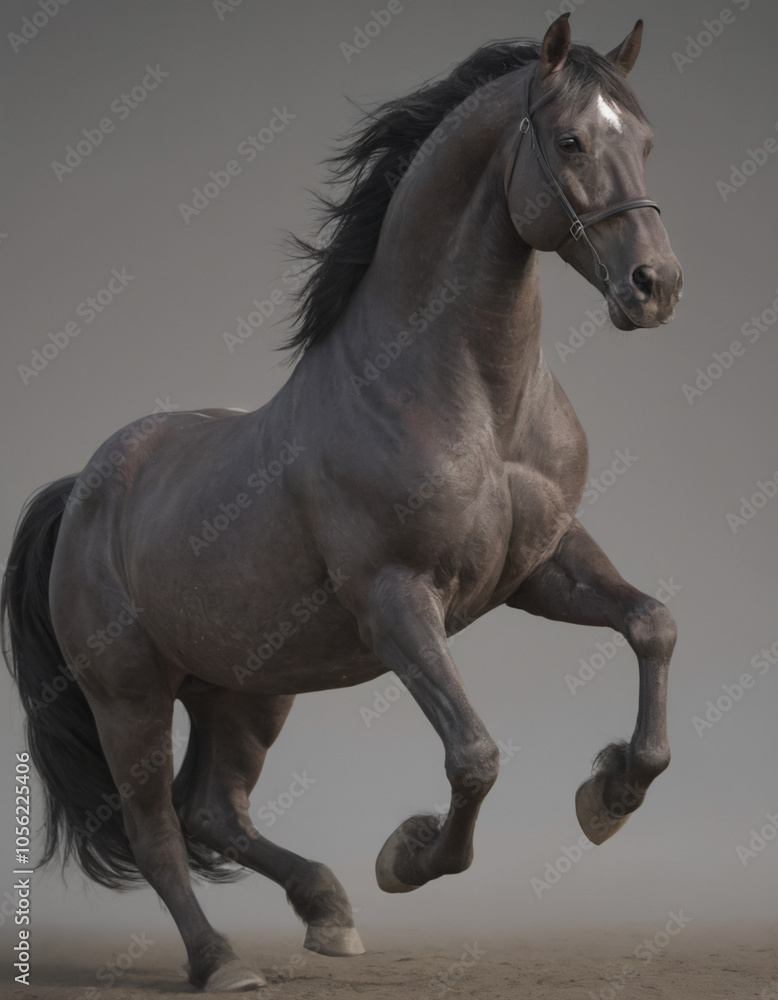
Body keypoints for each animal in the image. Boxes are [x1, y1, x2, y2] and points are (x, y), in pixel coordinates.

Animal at [2, 14, 682, 992]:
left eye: (648, 142)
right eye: (569, 141)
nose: (656, 286)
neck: (471, 399)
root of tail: (83, 491)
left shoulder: (543, 565)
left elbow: (652, 625)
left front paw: (611, 792)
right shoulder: (398, 599)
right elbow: (474, 756)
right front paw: (408, 856)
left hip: (246, 689)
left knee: (214, 811)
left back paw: (328, 912)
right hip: (128, 696)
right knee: (157, 830)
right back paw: (223, 961)